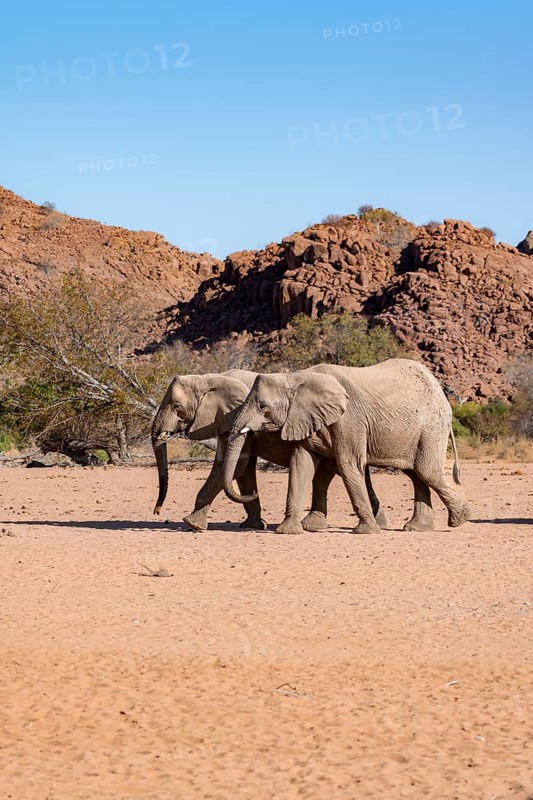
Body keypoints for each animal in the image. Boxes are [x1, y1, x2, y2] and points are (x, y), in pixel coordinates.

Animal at [151, 370, 388, 532]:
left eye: (177, 406)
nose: (157, 511)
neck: (210, 378)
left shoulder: (231, 419)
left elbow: (235, 467)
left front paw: (192, 524)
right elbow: (242, 469)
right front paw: (253, 525)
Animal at [223, 359, 470, 535]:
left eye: (263, 406)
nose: (253, 493)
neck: (297, 377)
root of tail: (440, 391)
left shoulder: (350, 420)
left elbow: (348, 465)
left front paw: (366, 532)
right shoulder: (304, 419)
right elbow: (301, 465)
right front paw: (289, 531)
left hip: (431, 427)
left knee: (427, 472)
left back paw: (460, 519)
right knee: (416, 474)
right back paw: (418, 528)